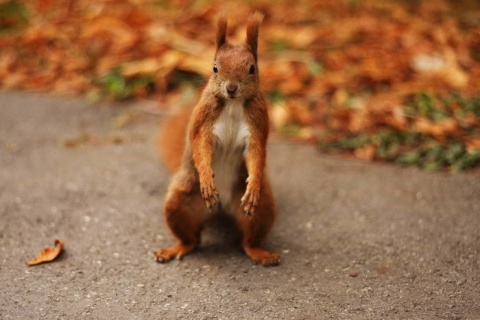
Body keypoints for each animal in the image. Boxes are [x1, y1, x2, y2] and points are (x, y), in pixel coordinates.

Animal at [154, 11, 282, 268]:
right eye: (215, 67)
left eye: (252, 68)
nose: (231, 88)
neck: (232, 104)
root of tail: (223, 207)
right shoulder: (204, 120)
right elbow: (201, 147)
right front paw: (206, 178)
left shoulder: (258, 122)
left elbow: (256, 153)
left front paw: (253, 183)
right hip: (180, 203)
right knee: (192, 239)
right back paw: (175, 248)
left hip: (261, 209)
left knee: (248, 240)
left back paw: (260, 252)